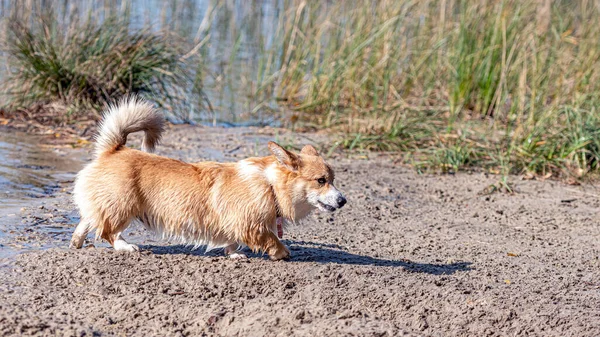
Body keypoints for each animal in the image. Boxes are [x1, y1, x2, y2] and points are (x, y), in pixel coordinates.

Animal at [69, 97, 346, 260]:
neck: (270, 185)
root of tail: (114, 149)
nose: (343, 201)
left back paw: (76, 242)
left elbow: (234, 242)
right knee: (107, 231)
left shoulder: (235, 224)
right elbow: (271, 240)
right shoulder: (251, 225)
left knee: (88, 219)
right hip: (123, 206)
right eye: (321, 180)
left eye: (332, 178)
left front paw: (234, 254)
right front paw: (281, 253)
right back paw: (126, 247)